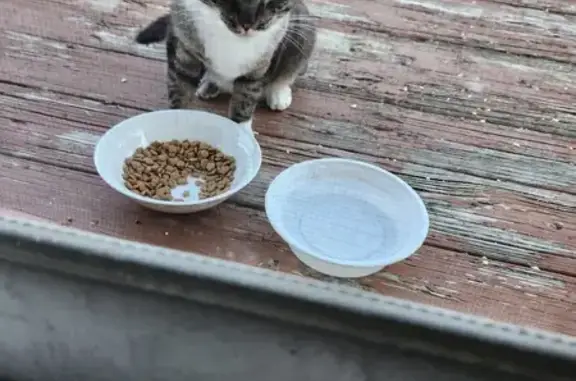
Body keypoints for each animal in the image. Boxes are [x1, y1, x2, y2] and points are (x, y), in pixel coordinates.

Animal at [135, 0, 316, 129]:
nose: (247, 24)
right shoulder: (182, 46)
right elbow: (181, 88)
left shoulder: (259, 65)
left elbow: (245, 98)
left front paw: (242, 137)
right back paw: (210, 84)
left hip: (303, 31)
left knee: (290, 70)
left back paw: (278, 93)